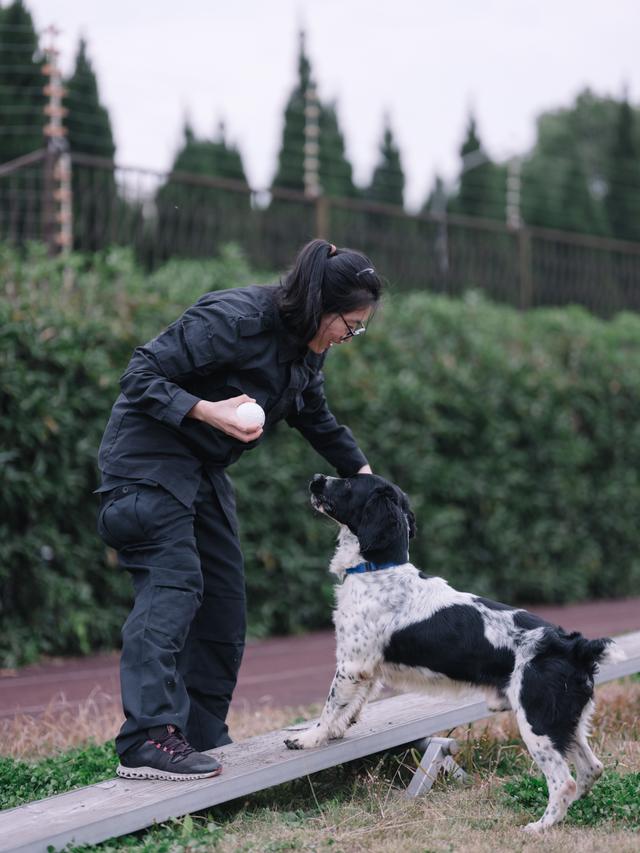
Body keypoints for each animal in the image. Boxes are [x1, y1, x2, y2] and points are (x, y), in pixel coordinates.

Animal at [284, 472, 624, 832]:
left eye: (349, 483)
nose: (316, 478)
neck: (377, 569)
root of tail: (573, 645)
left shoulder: (352, 664)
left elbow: (330, 706)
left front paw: (308, 738)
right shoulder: (368, 669)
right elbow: (350, 708)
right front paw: (332, 734)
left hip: (538, 723)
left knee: (564, 781)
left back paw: (539, 827)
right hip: (567, 723)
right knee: (592, 768)